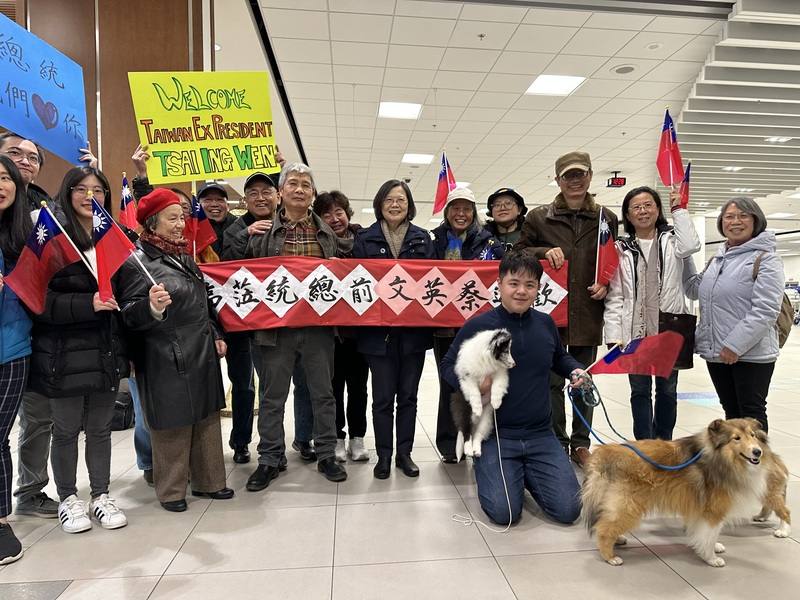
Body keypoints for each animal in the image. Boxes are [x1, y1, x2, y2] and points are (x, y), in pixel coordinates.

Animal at [450, 328, 512, 460]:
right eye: (505, 351)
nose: (514, 364)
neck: (488, 361)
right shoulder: (468, 377)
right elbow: (475, 393)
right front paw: (478, 408)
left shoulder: (499, 374)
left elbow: (497, 387)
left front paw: (496, 402)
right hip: (464, 413)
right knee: (466, 433)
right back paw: (468, 449)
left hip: (486, 420)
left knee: (477, 435)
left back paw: (476, 450)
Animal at [584, 418, 792, 568]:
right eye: (736, 438)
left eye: (752, 435)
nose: (757, 452)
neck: (720, 458)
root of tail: (604, 453)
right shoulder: (713, 511)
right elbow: (710, 534)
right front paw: (711, 558)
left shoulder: (698, 507)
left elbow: (703, 532)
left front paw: (710, 548)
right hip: (628, 505)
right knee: (603, 528)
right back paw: (610, 557)